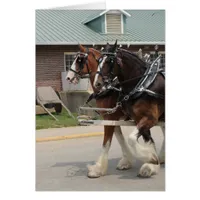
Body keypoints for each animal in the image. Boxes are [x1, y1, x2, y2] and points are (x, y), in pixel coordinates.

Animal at [94, 41, 165, 177]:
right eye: (98, 60)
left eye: (110, 61)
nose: (97, 83)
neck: (143, 84)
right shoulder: (138, 119)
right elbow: (148, 140)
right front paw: (151, 161)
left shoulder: (151, 118)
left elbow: (131, 139)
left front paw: (150, 161)